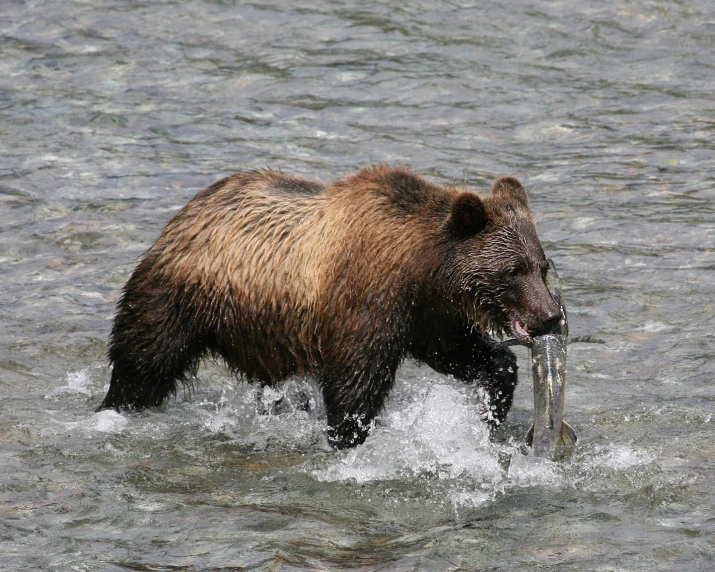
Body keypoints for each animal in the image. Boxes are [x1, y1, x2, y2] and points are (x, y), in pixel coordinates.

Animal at [98, 168, 564, 450]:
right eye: (513, 270)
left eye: (541, 266)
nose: (551, 316)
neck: (422, 268)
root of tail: (187, 210)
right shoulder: (368, 302)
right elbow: (355, 385)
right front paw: (347, 439)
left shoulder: (427, 316)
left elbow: (465, 354)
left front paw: (490, 409)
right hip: (178, 297)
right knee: (143, 361)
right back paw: (115, 407)